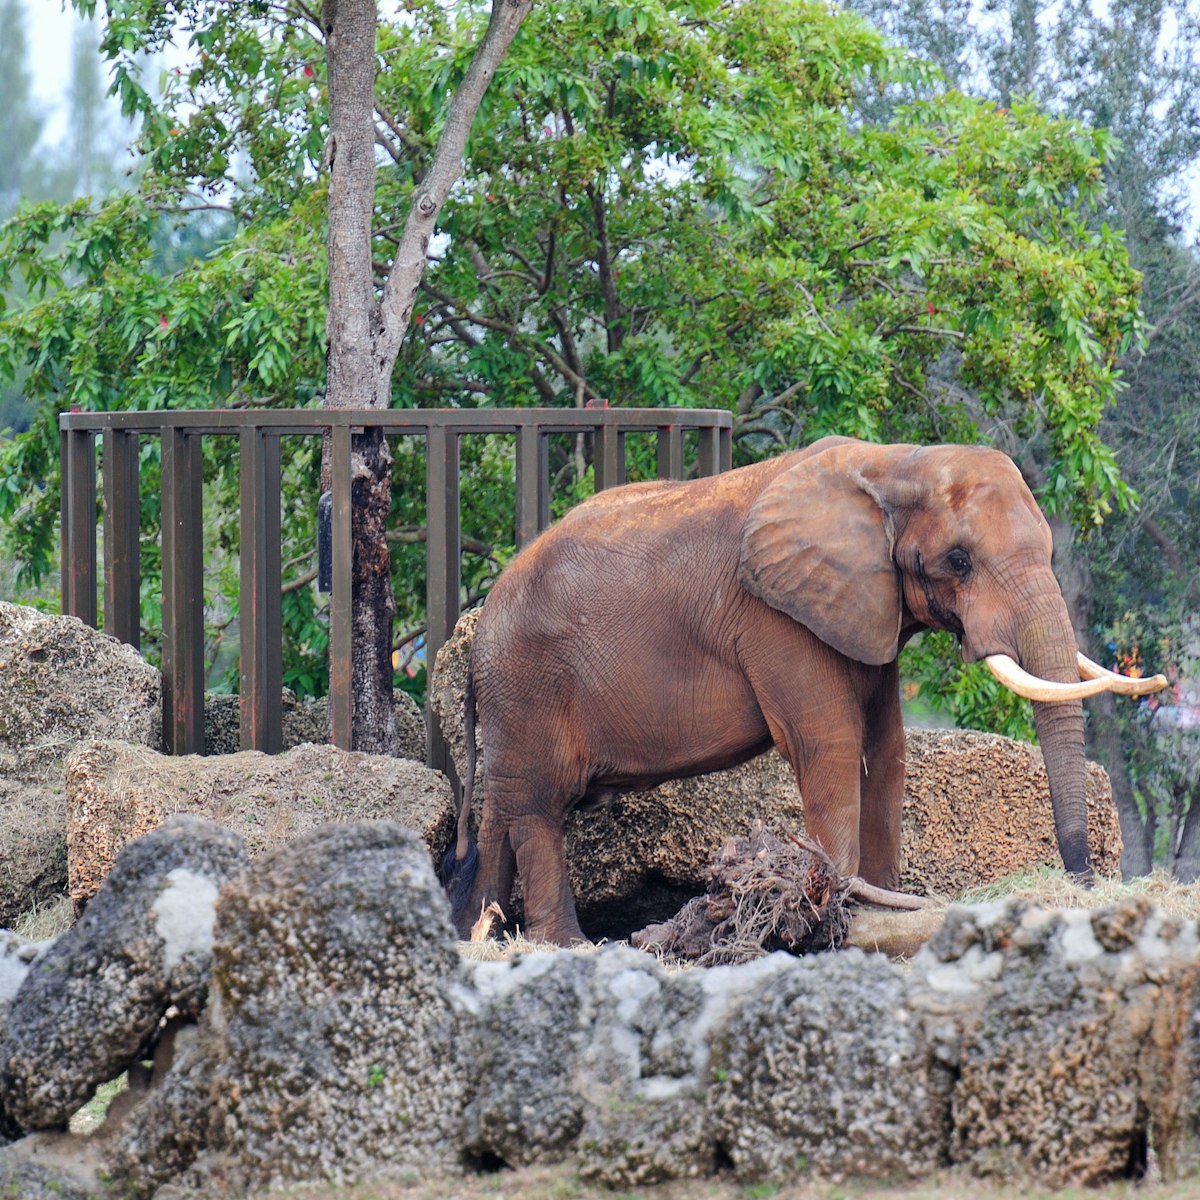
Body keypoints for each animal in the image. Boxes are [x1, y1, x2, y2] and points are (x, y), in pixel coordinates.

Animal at [444, 434, 1161, 945]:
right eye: (958, 561)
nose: (1082, 882)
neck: (892, 461)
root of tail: (477, 630)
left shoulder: (862, 608)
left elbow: (886, 748)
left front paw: (885, 901)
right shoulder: (776, 618)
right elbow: (829, 744)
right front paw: (847, 908)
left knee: (504, 809)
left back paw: (481, 934)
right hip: (529, 684)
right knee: (538, 809)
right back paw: (564, 946)